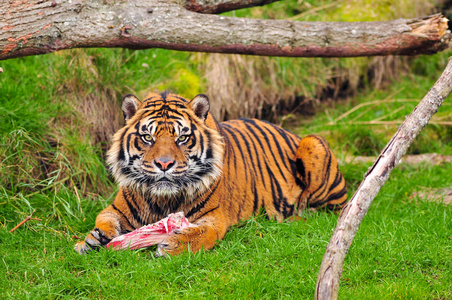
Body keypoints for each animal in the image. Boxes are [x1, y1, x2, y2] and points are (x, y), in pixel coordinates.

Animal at [76, 91, 348, 255]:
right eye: (147, 137)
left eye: (182, 138)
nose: (164, 164)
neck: (163, 200)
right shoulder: (116, 208)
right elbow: (103, 219)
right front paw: (91, 240)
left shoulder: (215, 217)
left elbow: (203, 232)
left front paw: (174, 244)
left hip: (314, 143)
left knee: (324, 211)